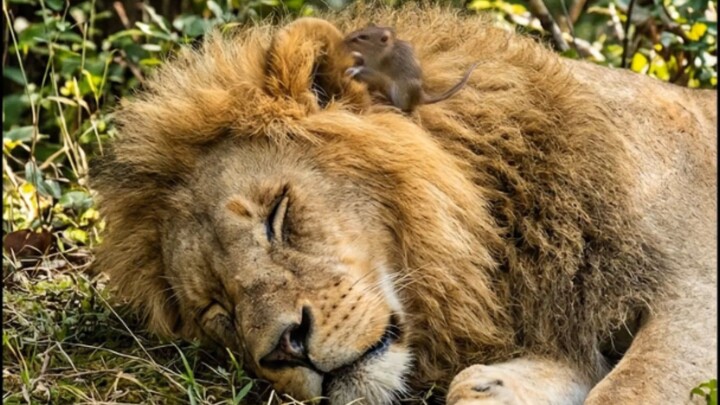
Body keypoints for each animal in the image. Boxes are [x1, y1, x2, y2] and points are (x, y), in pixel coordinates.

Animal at [90, 5, 717, 405]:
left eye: (278, 216)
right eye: (216, 310)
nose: (287, 349)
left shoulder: (694, 289)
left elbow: (628, 389)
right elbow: (481, 386)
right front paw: (496, 385)